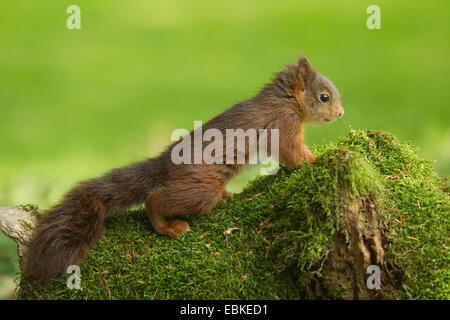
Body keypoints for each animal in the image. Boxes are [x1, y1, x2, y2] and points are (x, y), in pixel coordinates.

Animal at [25, 56, 344, 282]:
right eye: (324, 97)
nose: (341, 114)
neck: (285, 101)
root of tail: (163, 166)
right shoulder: (283, 124)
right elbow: (291, 152)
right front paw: (316, 159)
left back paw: (226, 196)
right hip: (199, 192)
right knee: (154, 198)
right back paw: (168, 226)